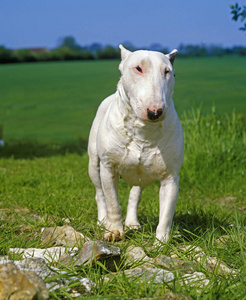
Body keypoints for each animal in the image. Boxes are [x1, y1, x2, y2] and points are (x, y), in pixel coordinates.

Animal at [87, 45, 184, 244]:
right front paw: (114, 231)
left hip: (143, 174)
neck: (144, 130)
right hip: (93, 163)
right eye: (138, 68)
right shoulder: (108, 167)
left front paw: (161, 242)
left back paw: (132, 223)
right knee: (99, 193)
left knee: (135, 193)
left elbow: (167, 212)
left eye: (167, 71)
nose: (155, 112)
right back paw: (102, 222)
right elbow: (112, 202)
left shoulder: (171, 176)